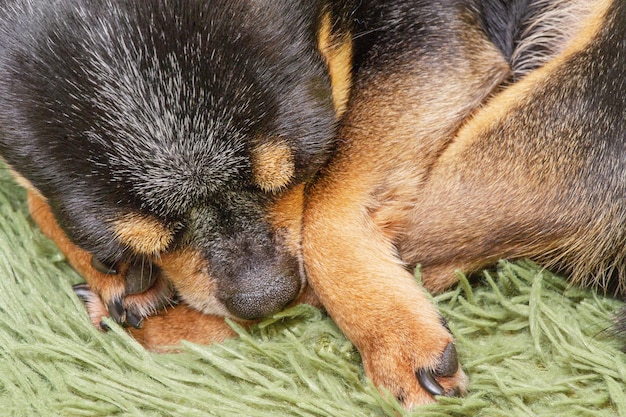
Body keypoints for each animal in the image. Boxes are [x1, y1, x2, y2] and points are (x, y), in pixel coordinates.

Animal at [1, 0, 624, 410]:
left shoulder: (433, 43)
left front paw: (390, 331)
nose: (262, 297)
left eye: (295, 169)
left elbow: (325, 206)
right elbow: (35, 196)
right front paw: (112, 264)